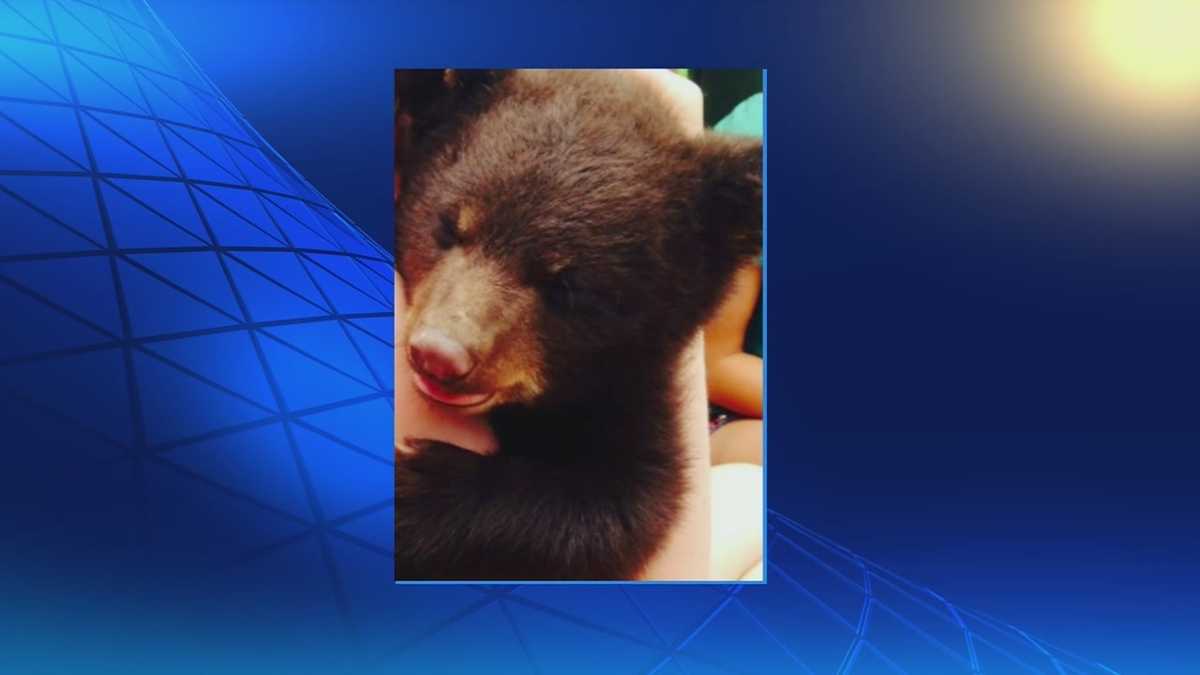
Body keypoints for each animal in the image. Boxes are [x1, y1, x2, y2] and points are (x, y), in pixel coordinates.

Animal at [394, 69, 762, 580]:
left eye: (569, 285)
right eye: (449, 226)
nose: (439, 354)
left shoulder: (636, 385)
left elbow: (627, 504)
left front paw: (419, 486)